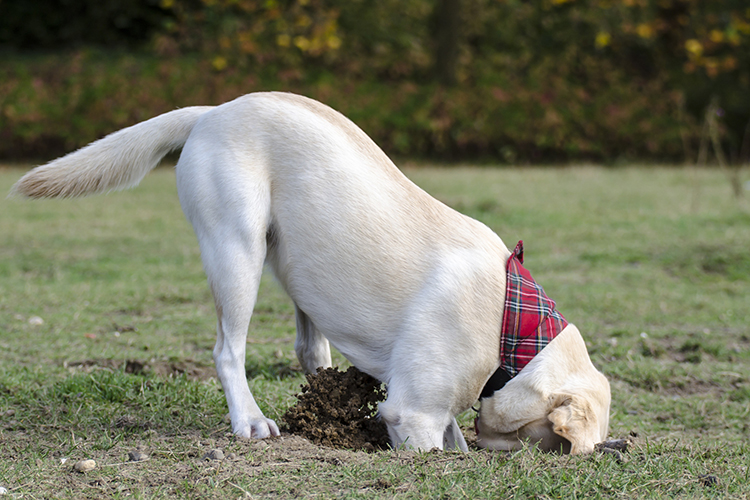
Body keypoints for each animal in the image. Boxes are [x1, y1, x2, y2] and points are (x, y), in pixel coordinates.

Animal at [13, 90, 612, 454]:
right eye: (552, 441)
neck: (518, 331)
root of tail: (215, 109)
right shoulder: (413, 414)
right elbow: (437, 444)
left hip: (300, 266)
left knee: (308, 349)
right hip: (237, 250)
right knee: (228, 350)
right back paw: (250, 421)